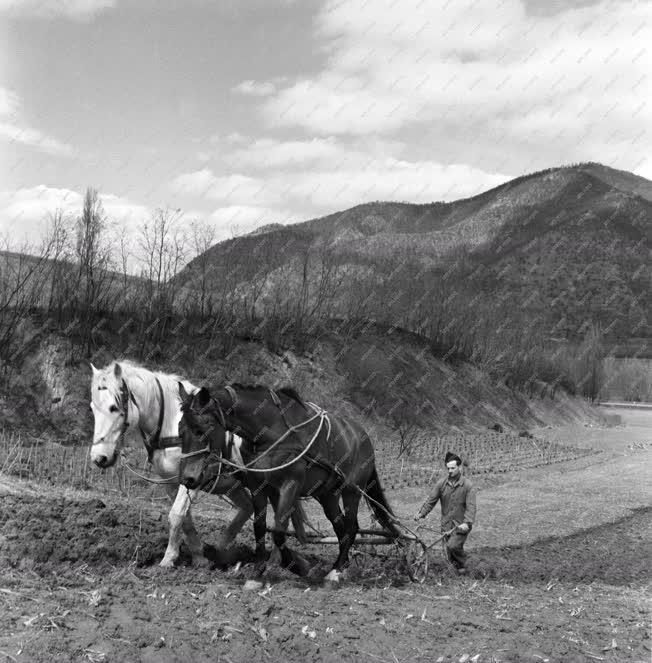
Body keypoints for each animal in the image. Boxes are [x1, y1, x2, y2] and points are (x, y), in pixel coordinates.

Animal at [90, 360, 253, 568]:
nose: (99, 457)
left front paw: (168, 560)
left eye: (113, 407)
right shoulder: (170, 481)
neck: (172, 427)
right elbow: (185, 519)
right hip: (232, 486)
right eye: (92, 408)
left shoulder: (193, 478)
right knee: (248, 507)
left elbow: (176, 515)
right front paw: (199, 557)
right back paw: (221, 549)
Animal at [181, 384, 400, 580]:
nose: (188, 478)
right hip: (327, 495)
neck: (272, 432)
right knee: (341, 528)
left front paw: (298, 567)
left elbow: (279, 531)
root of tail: (363, 437)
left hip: (352, 491)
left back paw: (336, 571)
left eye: (202, 428)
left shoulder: (290, 484)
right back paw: (340, 566)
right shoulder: (258, 486)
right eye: (180, 429)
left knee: (351, 527)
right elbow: (260, 527)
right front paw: (258, 570)